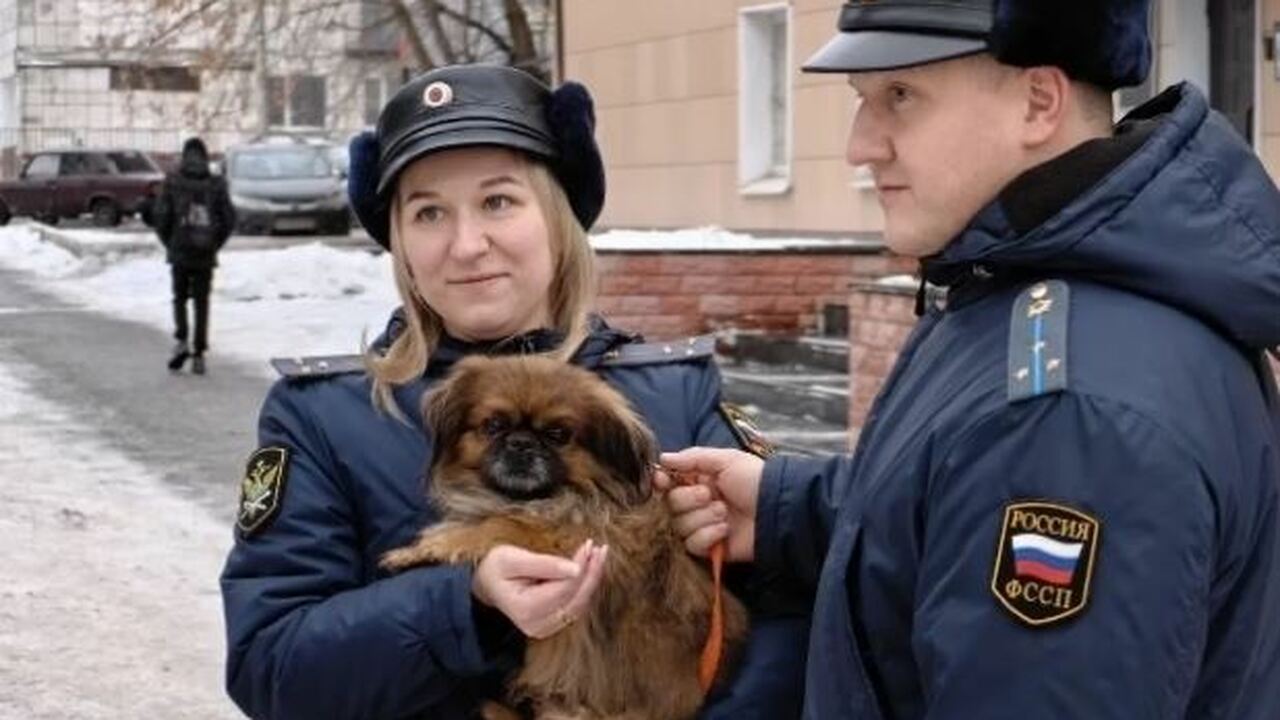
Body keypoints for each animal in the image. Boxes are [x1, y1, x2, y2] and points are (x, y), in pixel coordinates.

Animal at [378, 353, 747, 717]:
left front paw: (424, 548)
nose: (521, 443)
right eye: (493, 426)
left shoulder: (573, 542)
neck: (536, 497)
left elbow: (497, 525)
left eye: (558, 434)